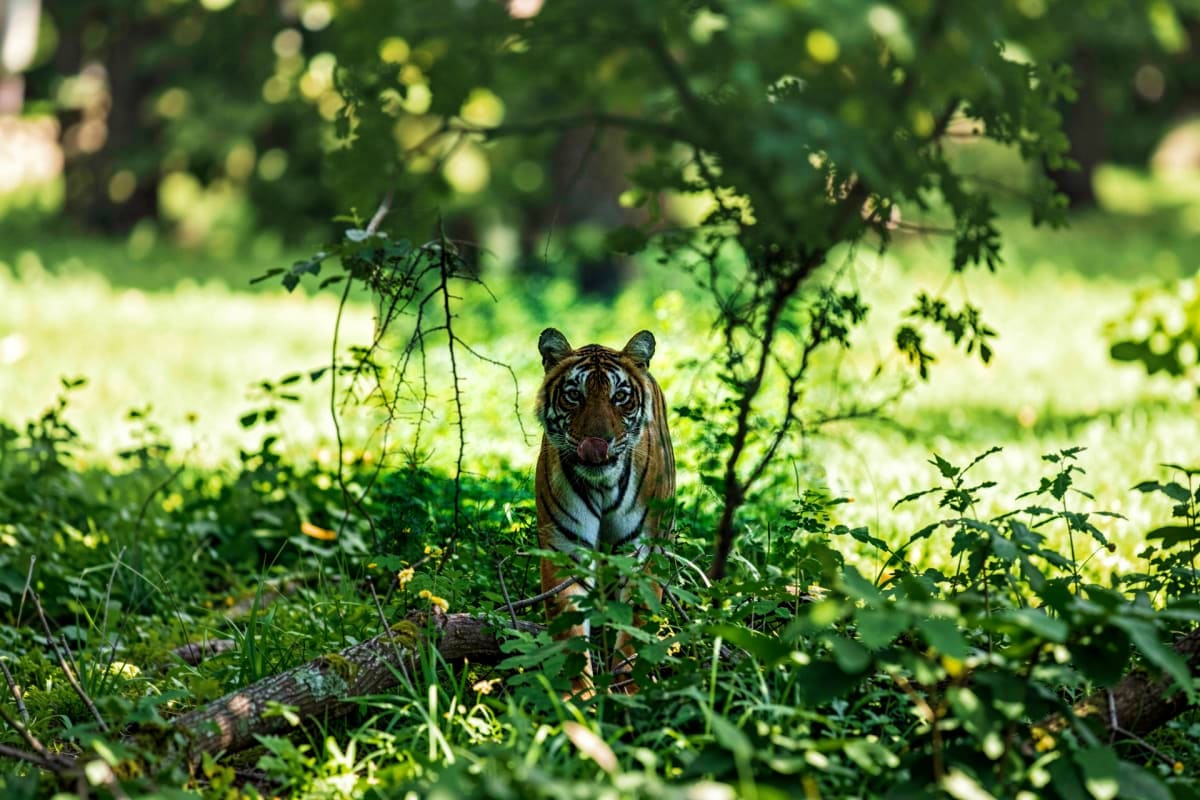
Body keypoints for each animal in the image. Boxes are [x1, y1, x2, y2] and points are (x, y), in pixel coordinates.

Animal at [534, 327, 676, 697]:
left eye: (620, 397)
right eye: (574, 396)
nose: (597, 444)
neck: (603, 485)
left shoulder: (642, 551)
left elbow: (636, 624)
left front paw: (630, 689)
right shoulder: (565, 550)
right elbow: (569, 631)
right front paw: (576, 696)